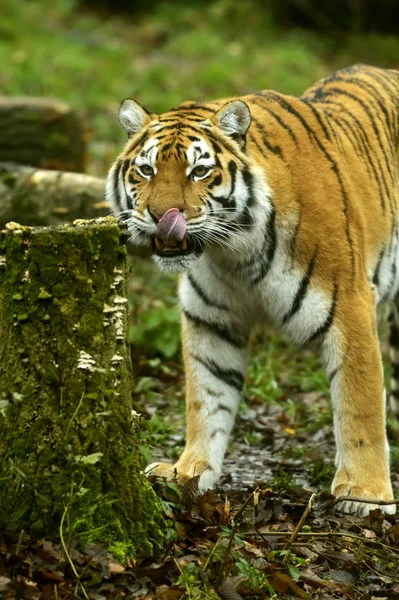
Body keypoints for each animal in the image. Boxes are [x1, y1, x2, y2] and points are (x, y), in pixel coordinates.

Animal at [106, 63, 399, 516]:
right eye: (147, 170)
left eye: (199, 171)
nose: (160, 215)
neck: (235, 251)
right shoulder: (211, 318)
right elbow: (206, 397)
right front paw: (189, 471)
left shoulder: (351, 306)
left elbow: (360, 403)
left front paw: (366, 493)